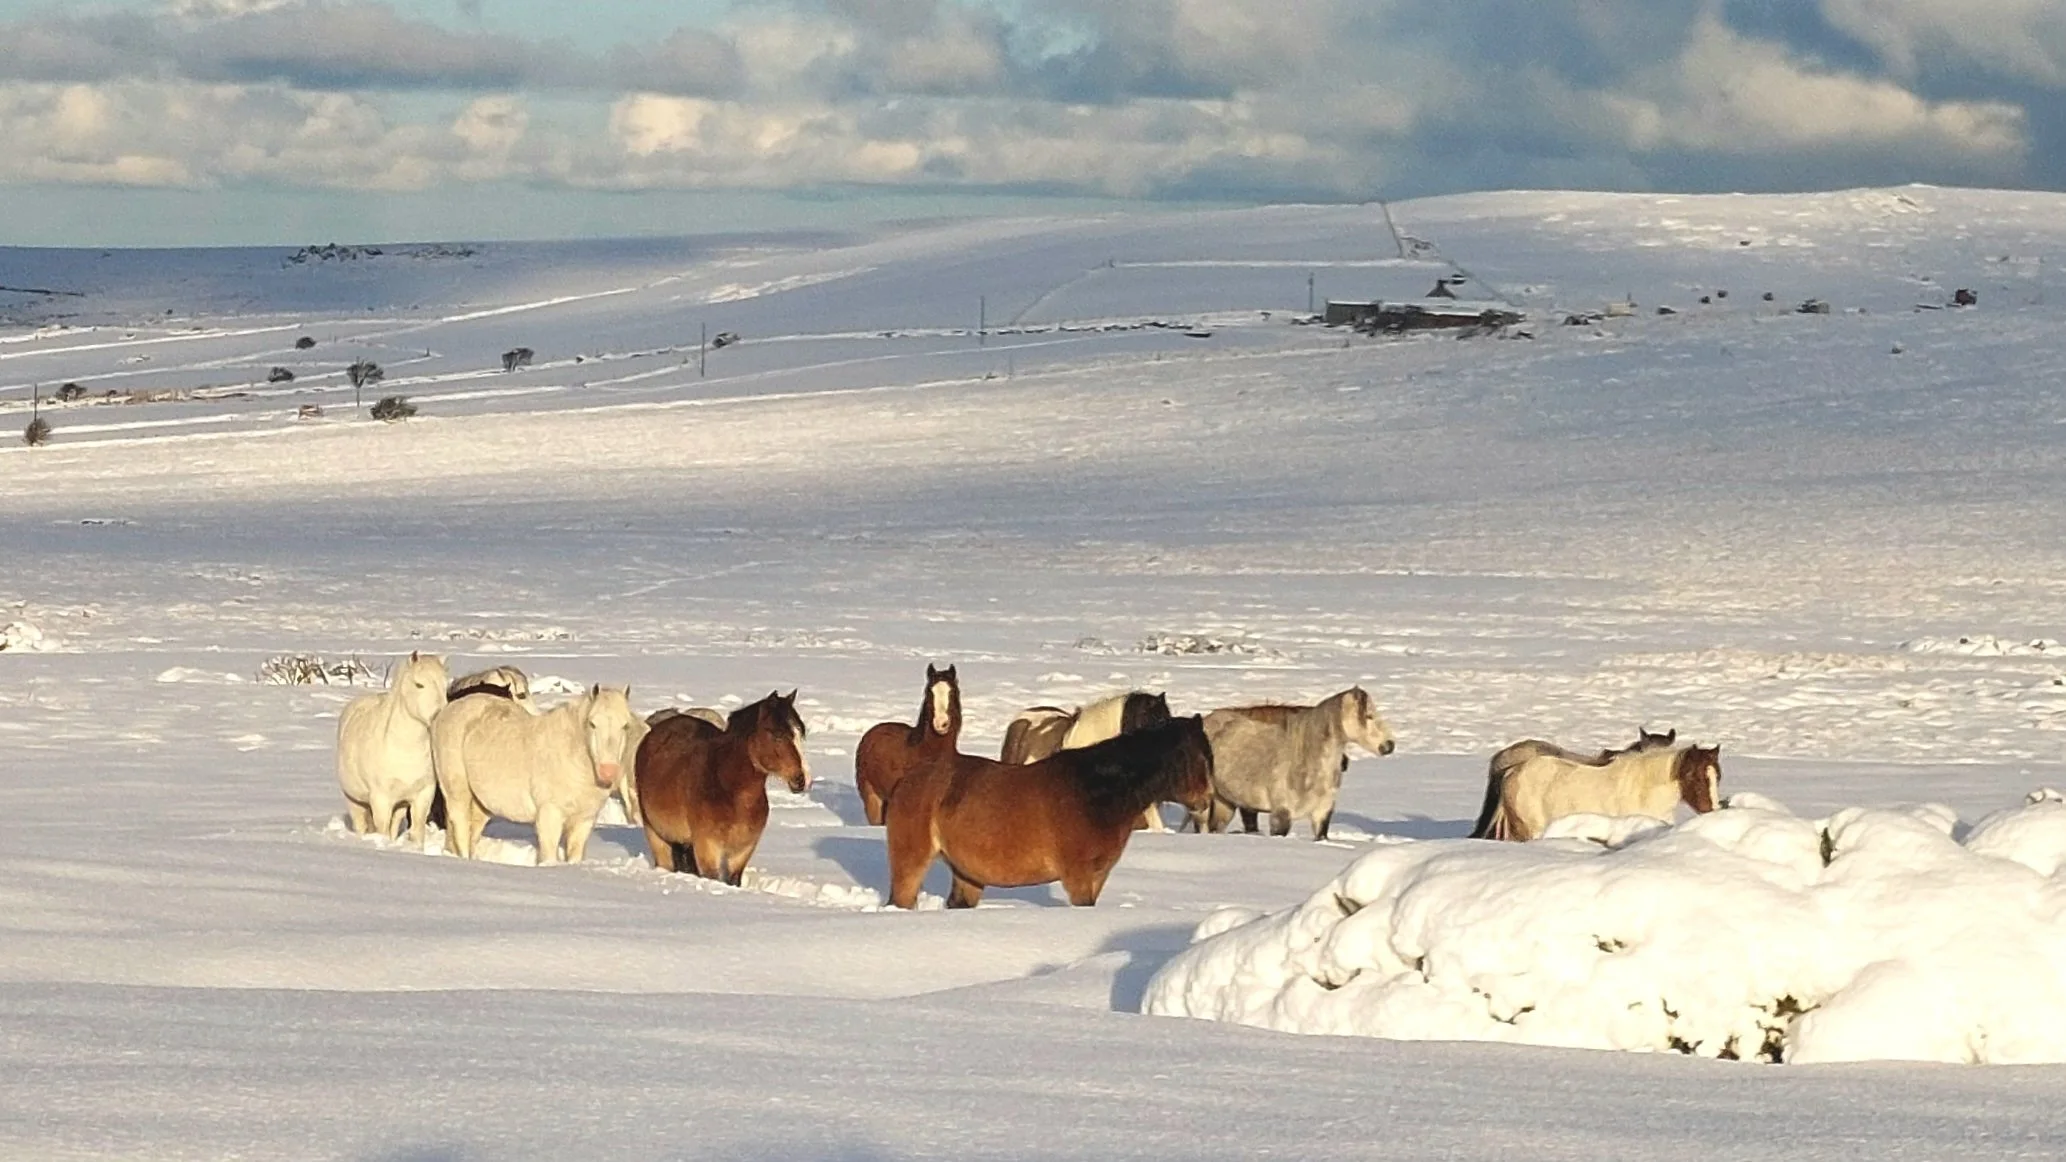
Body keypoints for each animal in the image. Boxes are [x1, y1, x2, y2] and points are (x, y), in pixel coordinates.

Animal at [336, 652, 449, 845]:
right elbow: (382, 829)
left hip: (400, 805)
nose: (439, 716)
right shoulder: (381, 799)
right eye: (419, 684)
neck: (405, 750)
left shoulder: (422, 795)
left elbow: (417, 830)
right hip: (354, 800)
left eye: (445, 684)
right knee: (361, 825)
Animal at [431, 684, 636, 864]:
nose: (608, 772)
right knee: (460, 827)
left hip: (482, 803)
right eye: (592, 724)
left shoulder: (584, 820)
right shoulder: (549, 815)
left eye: (626, 725)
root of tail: (446, 711)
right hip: (457, 792)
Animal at [634, 691, 811, 884]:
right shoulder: (707, 848)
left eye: (800, 734)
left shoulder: (742, 851)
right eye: (778, 735)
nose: (802, 779)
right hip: (656, 834)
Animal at [886, 715, 1214, 909]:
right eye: (1197, 757)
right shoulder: (1077, 876)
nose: (1207, 800)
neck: (1093, 793)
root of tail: (909, 780)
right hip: (911, 863)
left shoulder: (1098, 876)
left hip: (967, 874)